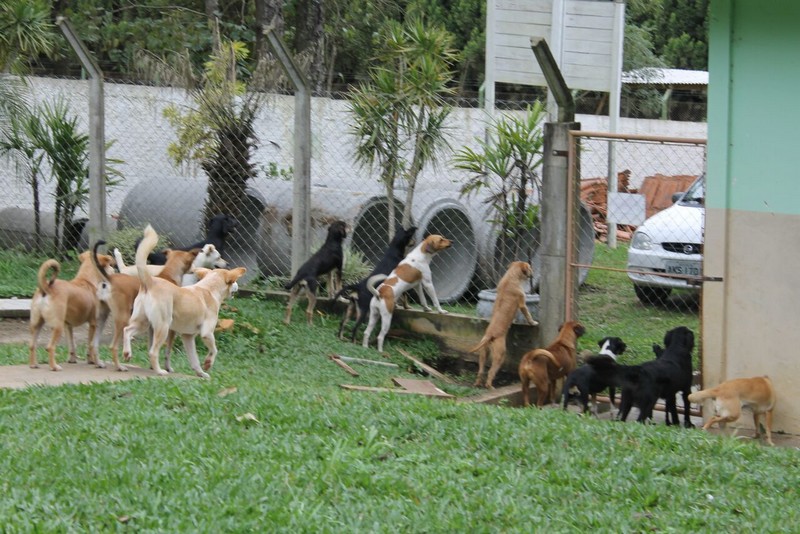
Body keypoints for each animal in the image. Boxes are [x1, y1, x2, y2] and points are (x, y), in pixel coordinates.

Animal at [122, 224, 245, 378]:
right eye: (233, 281)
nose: (237, 287)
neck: (209, 288)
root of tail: (150, 282)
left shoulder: (188, 337)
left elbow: (194, 359)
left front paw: (201, 373)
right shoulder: (207, 333)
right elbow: (214, 349)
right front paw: (208, 364)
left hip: (143, 323)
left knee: (126, 330)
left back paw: (127, 353)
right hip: (162, 327)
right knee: (152, 352)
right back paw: (160, 371)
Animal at [468, 262, 536, 392]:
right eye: (530, 268)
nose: (532, 274)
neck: (511, 277)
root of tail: (489, 336)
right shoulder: (522, 304)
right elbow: (528, 315)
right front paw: (533, 322)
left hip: (483, 354)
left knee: (481, 370)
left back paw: (477, 384)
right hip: (500, 355)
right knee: (491, 372)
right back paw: (490, 386)